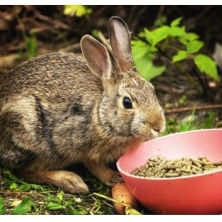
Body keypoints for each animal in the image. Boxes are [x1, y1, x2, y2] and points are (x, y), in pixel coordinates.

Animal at [0, 16, 166, 194]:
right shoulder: (79, 145)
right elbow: (93, 165)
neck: (100, 115)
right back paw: (71, 181)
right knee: (23, 171)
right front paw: (113, 177)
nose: (158, 126)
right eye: (127, 102)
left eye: (152, 90)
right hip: (29, 132)